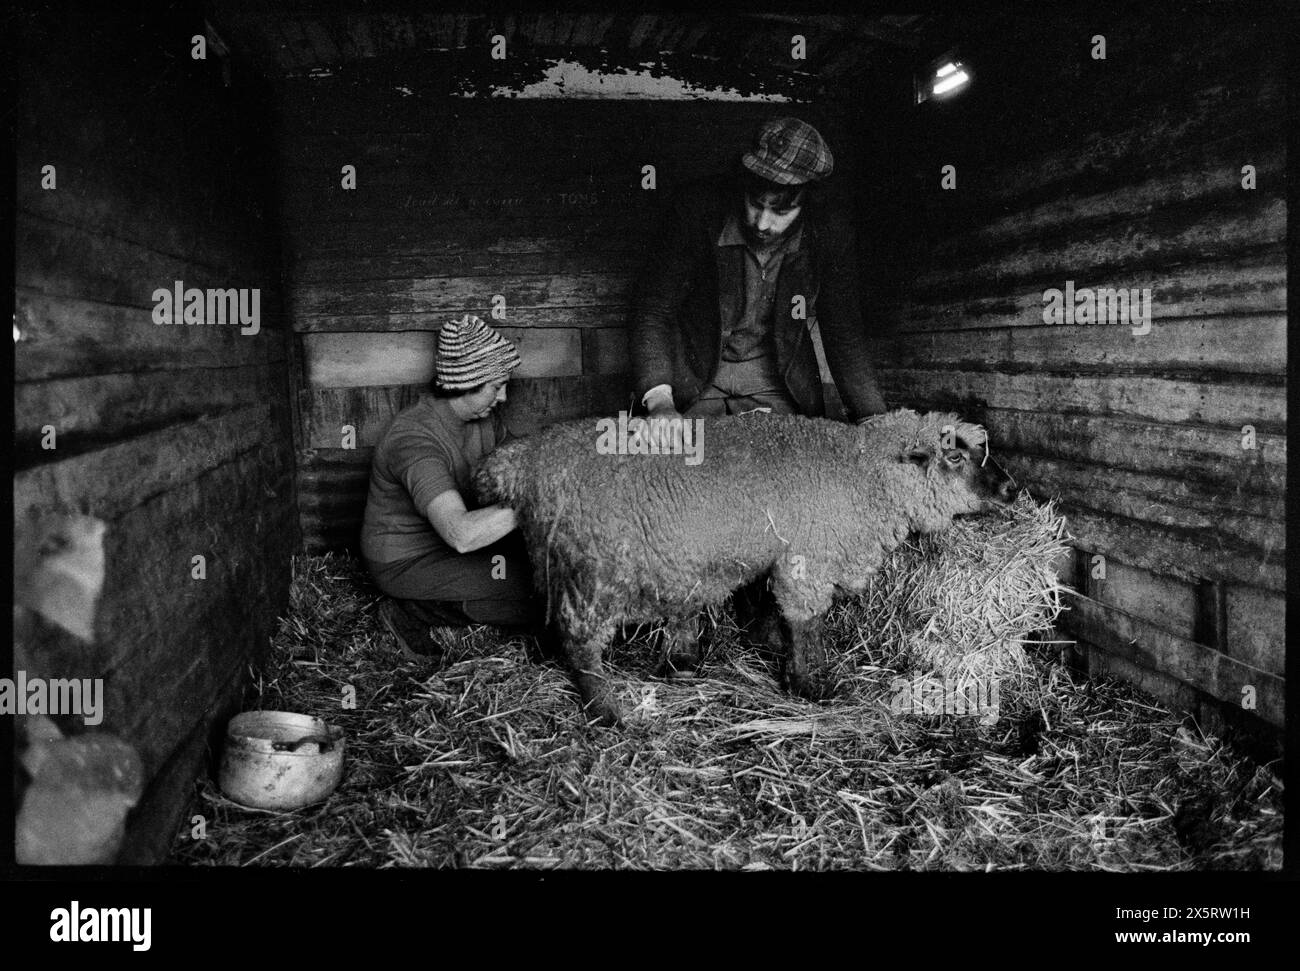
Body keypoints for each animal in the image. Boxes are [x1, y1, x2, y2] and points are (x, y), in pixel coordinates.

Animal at [474, 409, 1016, 727]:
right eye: (953, 456)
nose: (1011, 489)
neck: (861, 472)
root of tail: (518, 463)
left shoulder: (777, 553)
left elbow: (771, 606)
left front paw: (772, 646)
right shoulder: (806, 556)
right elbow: (805, 621)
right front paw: (808, 682)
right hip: (591, 573)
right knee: (579, 642)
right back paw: (607, 710)